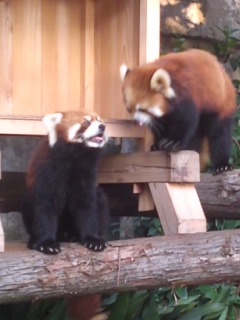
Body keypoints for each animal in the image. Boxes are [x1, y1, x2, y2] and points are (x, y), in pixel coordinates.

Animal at [21, 110, 109, 255]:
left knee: (100, 199)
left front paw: (92, 239)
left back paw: (75, 236)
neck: (76, 157)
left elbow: (86, 206)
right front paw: (46, 243)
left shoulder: (86, 175)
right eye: (86, 122)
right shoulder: (48, 171)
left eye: (100, 120)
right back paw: (35, 241)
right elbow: (45, 208)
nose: (103, 126)